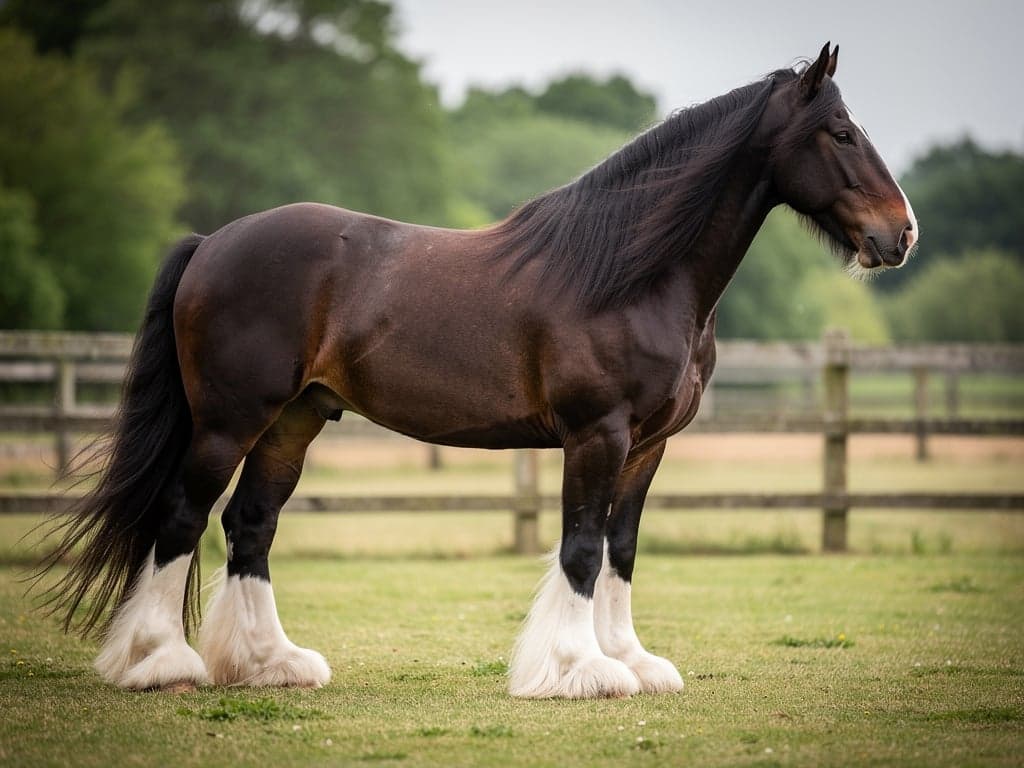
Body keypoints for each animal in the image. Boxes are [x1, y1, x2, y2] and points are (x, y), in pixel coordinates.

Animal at [38, 44, 916, 698]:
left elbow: (622, 549)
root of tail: (212, 243)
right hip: (228, 422)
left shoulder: (647, 446)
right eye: (840, 133)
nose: (900, 233)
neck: (631, 273)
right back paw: (160, 663)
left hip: (293, 420)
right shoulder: (597, 436)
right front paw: (580, 670)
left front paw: (631, 662)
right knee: (181, 518)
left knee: (250, 525)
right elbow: (581, 549)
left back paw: (270, 665)